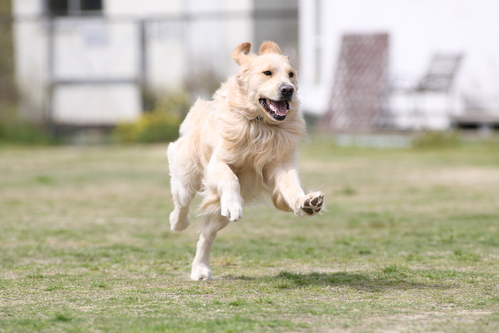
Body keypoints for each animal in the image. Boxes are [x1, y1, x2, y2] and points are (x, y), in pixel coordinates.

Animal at [167, 41, 324, 280]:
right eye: (267, 73)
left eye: (291, 74)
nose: (288, 89)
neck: (261, 126)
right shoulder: (217, 163)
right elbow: (230, 178)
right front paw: (233, 205)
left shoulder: (282, 166)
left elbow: (292, 189)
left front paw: (306, 203)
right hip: (187, 177)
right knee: (181, 203)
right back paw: (178, 224)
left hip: (217, 215)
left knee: (206, 236)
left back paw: (200, 269)